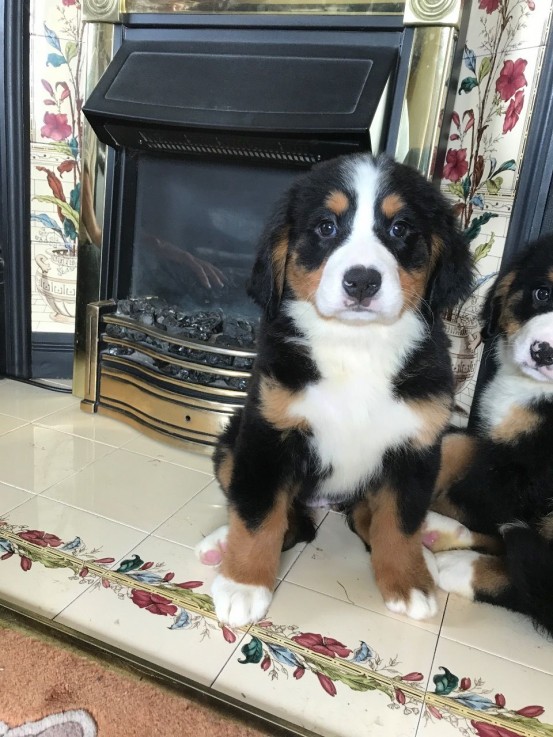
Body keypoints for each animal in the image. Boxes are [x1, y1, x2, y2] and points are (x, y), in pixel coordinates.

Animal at [196, 154, 472, 628]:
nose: (362, 280)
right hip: (232, 441)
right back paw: (221, 544)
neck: (356, 347)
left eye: (399, 228)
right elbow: (259, 514)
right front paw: (244, 584)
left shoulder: (416, 446)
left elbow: (399, 522)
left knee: (367, 515)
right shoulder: (269, 434)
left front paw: (408, 581)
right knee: (271, 509)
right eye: (326, 227)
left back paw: (432, 546)